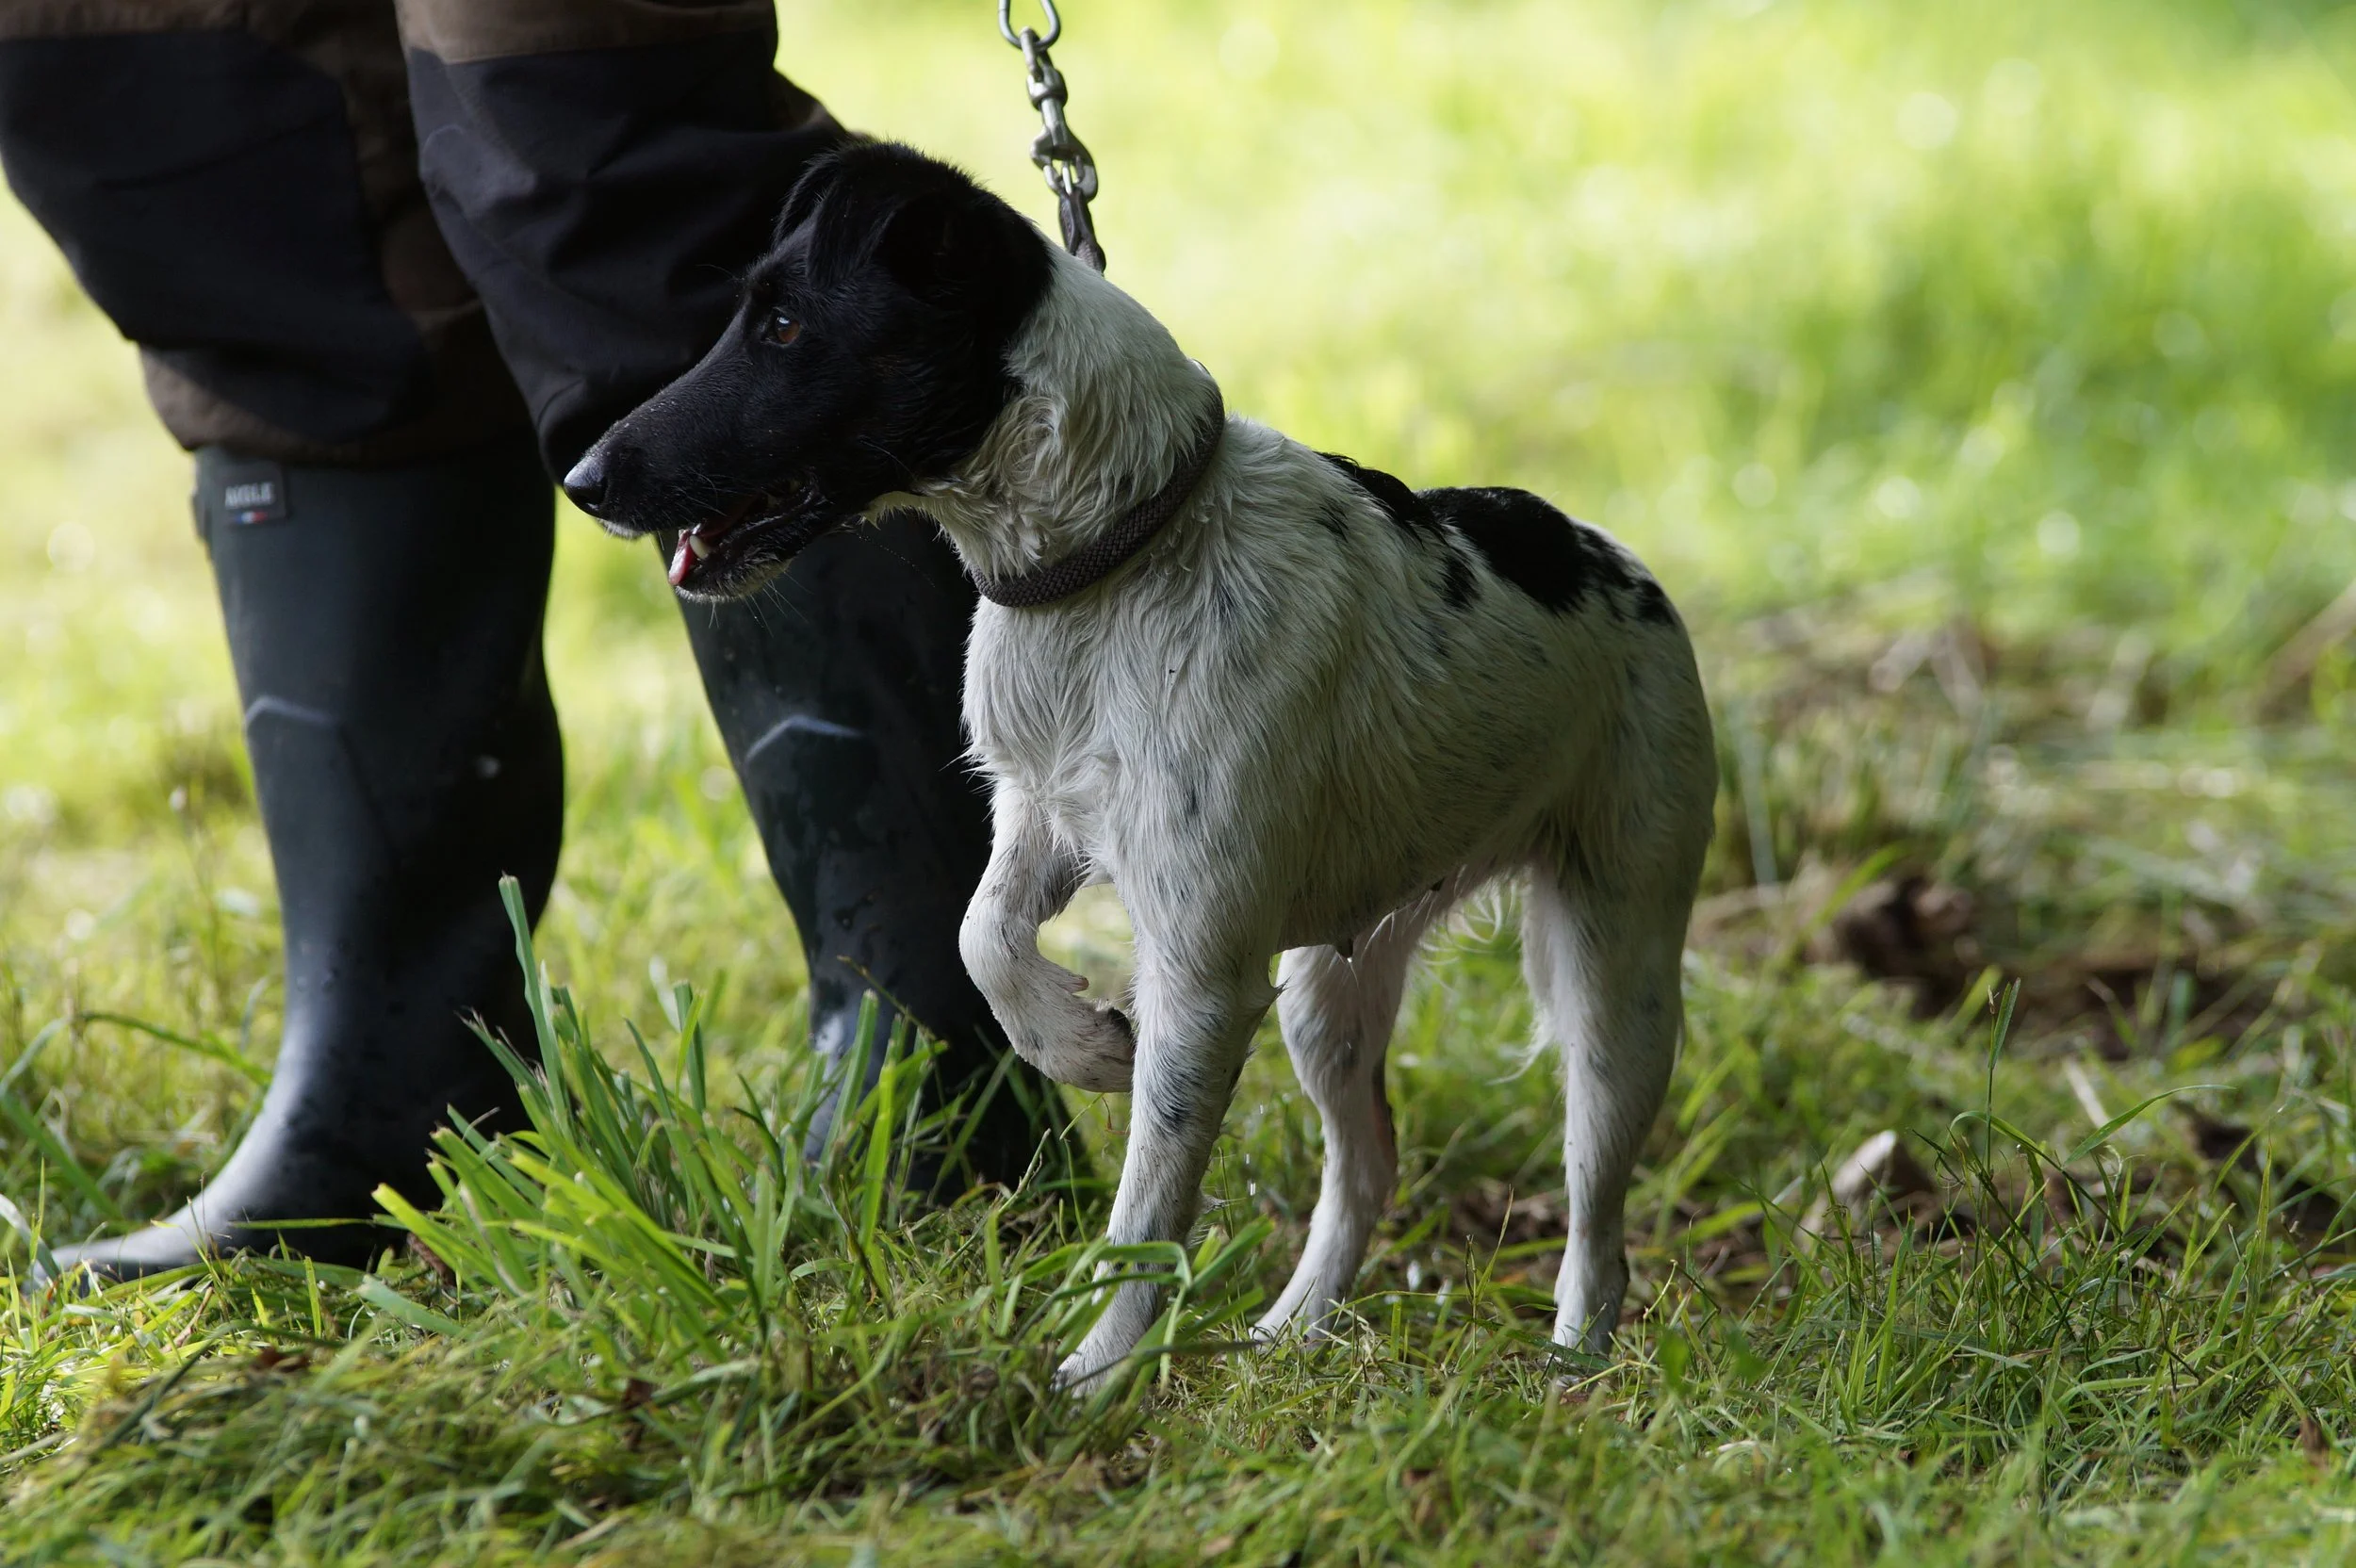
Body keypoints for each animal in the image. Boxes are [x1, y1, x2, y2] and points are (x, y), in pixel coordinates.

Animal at [564, 143, 1717, 1388]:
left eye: (782, 327)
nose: (581, 478)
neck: (1114, 567)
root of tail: (1613, 558)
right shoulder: (1044, 816)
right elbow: (980, 935)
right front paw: (1078, 1045)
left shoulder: (1200, 971)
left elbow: (1145, 1206)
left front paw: (1097, 1374)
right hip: (1331, 988)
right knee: (1365, 1164)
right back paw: (1293, 1325)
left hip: (1615, 976)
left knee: (1596, 1210)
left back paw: (1577, 1356)